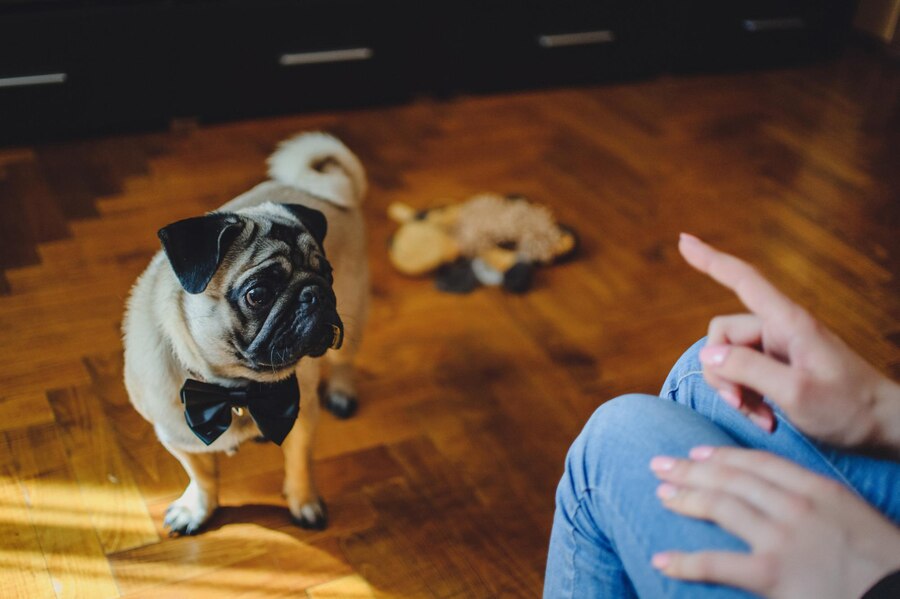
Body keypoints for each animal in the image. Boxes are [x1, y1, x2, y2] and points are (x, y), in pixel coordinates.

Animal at [123, 134, 370, 536]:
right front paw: (197, 508)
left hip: (355, 309)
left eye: (326, 274)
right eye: (258, 294)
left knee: (344, 361)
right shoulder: (178, 438)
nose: (315, 293)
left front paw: (304, 502)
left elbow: (299, 464)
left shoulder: (301, 418)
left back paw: (341, 392)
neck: (235, 389)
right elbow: (202, 476)